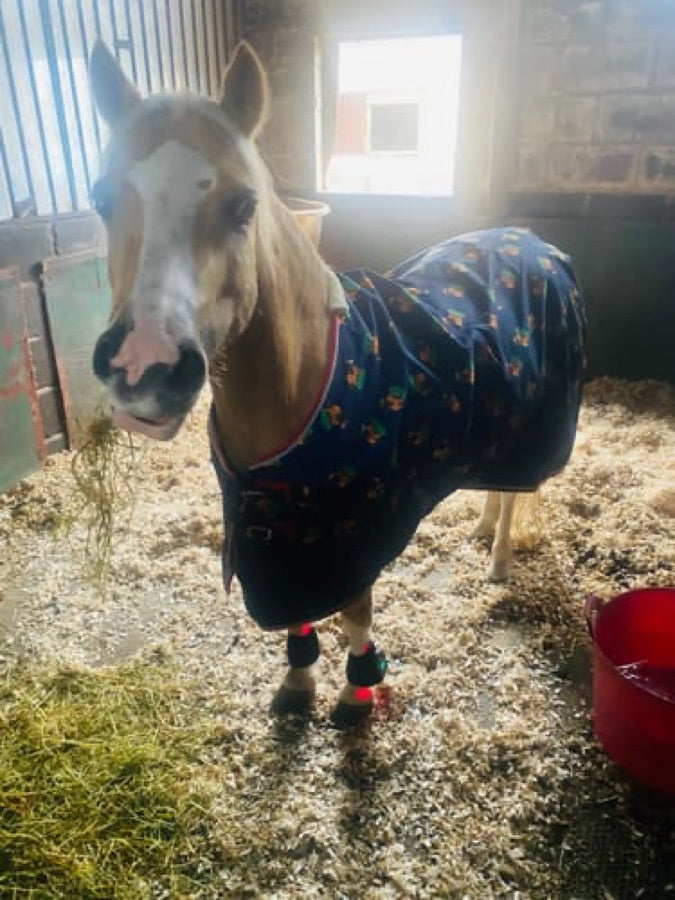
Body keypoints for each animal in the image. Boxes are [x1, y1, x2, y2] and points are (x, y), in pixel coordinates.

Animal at [89, 40, 586, 726]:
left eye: (244, 205)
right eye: (101, 198)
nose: (145, 367)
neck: (306, 391)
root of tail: (530, 239)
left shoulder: (354, 538)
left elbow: (354, 613)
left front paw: (357, 692)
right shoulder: (283, 540)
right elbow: (297, 614)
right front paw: (299, 681)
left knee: (517, 494)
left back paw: (498, 559)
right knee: (498, 487)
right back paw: (483, 529)